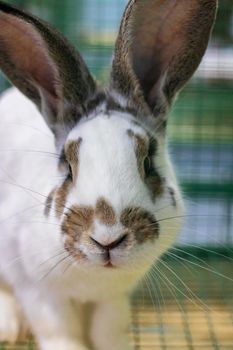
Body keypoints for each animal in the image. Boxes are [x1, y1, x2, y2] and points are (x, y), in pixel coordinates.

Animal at [0, 0, 217, 350]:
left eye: (148, 162)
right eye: (67, 165)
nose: (107, 237)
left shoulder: (114, 299)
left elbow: (107, 329)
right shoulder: (39, 291)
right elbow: (59, 330)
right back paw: (8, 327)